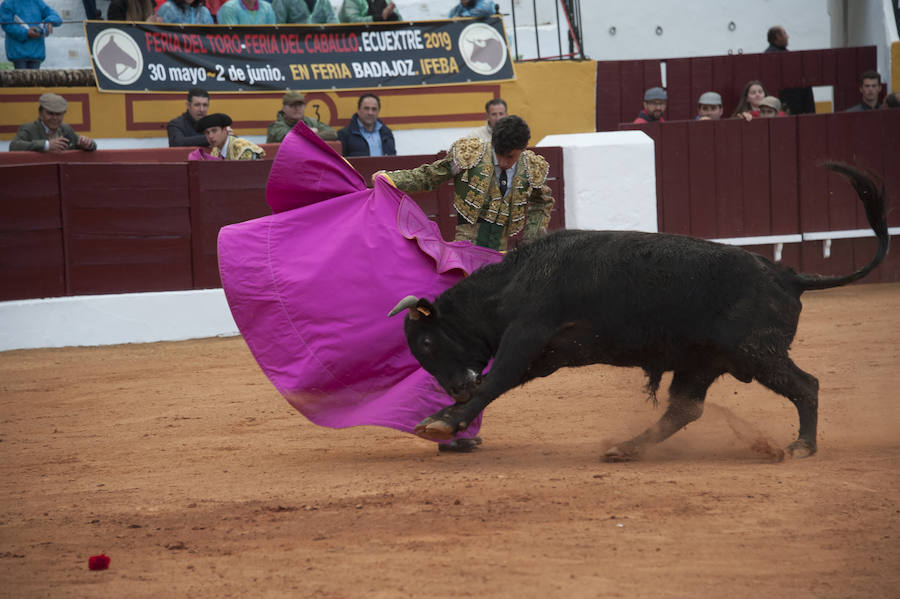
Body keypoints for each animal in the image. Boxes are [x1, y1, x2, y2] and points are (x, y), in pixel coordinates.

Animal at [390, 162, 888, 462]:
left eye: (428, 342)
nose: (454, 389)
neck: (515, 280)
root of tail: (788, 276)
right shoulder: (546, 354)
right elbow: (499, 382)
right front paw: (444, 419)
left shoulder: (527, 336)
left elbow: (496, 380)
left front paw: (441, 422)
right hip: (704, 360)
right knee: (685, 409)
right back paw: (627, 448)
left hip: (757, 353)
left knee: (807, 386)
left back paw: (801, 446)